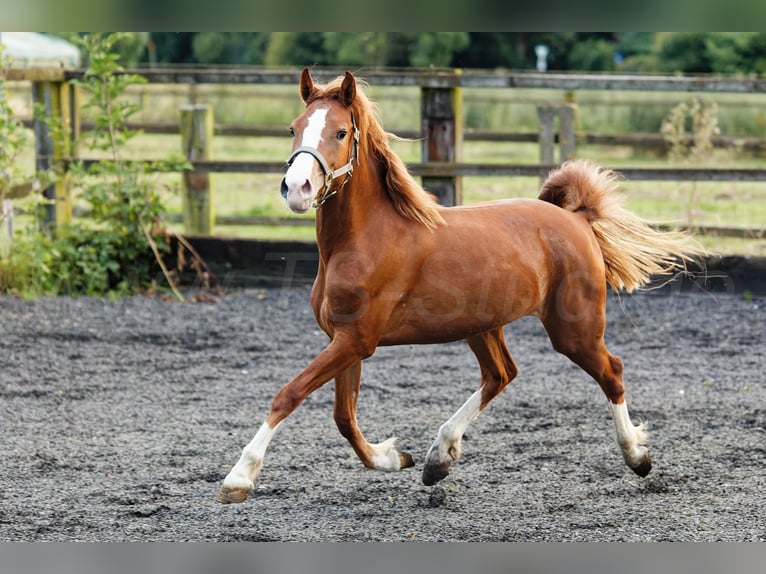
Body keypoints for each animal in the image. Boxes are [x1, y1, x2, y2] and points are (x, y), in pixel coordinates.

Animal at [216, 70, 704, 506]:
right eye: (293, 128)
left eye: (340, 132)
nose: (296, 189)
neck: (363, 239)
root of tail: (578, 219)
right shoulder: (344, 339)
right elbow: (344, 418)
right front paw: (396, 457)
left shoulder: (357, 339)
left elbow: (290, 394)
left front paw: (239, 478)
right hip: (482, 326)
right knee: (501, 374)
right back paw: (439, 458)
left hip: (575, 330)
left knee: (611, 372)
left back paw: (638, 457)